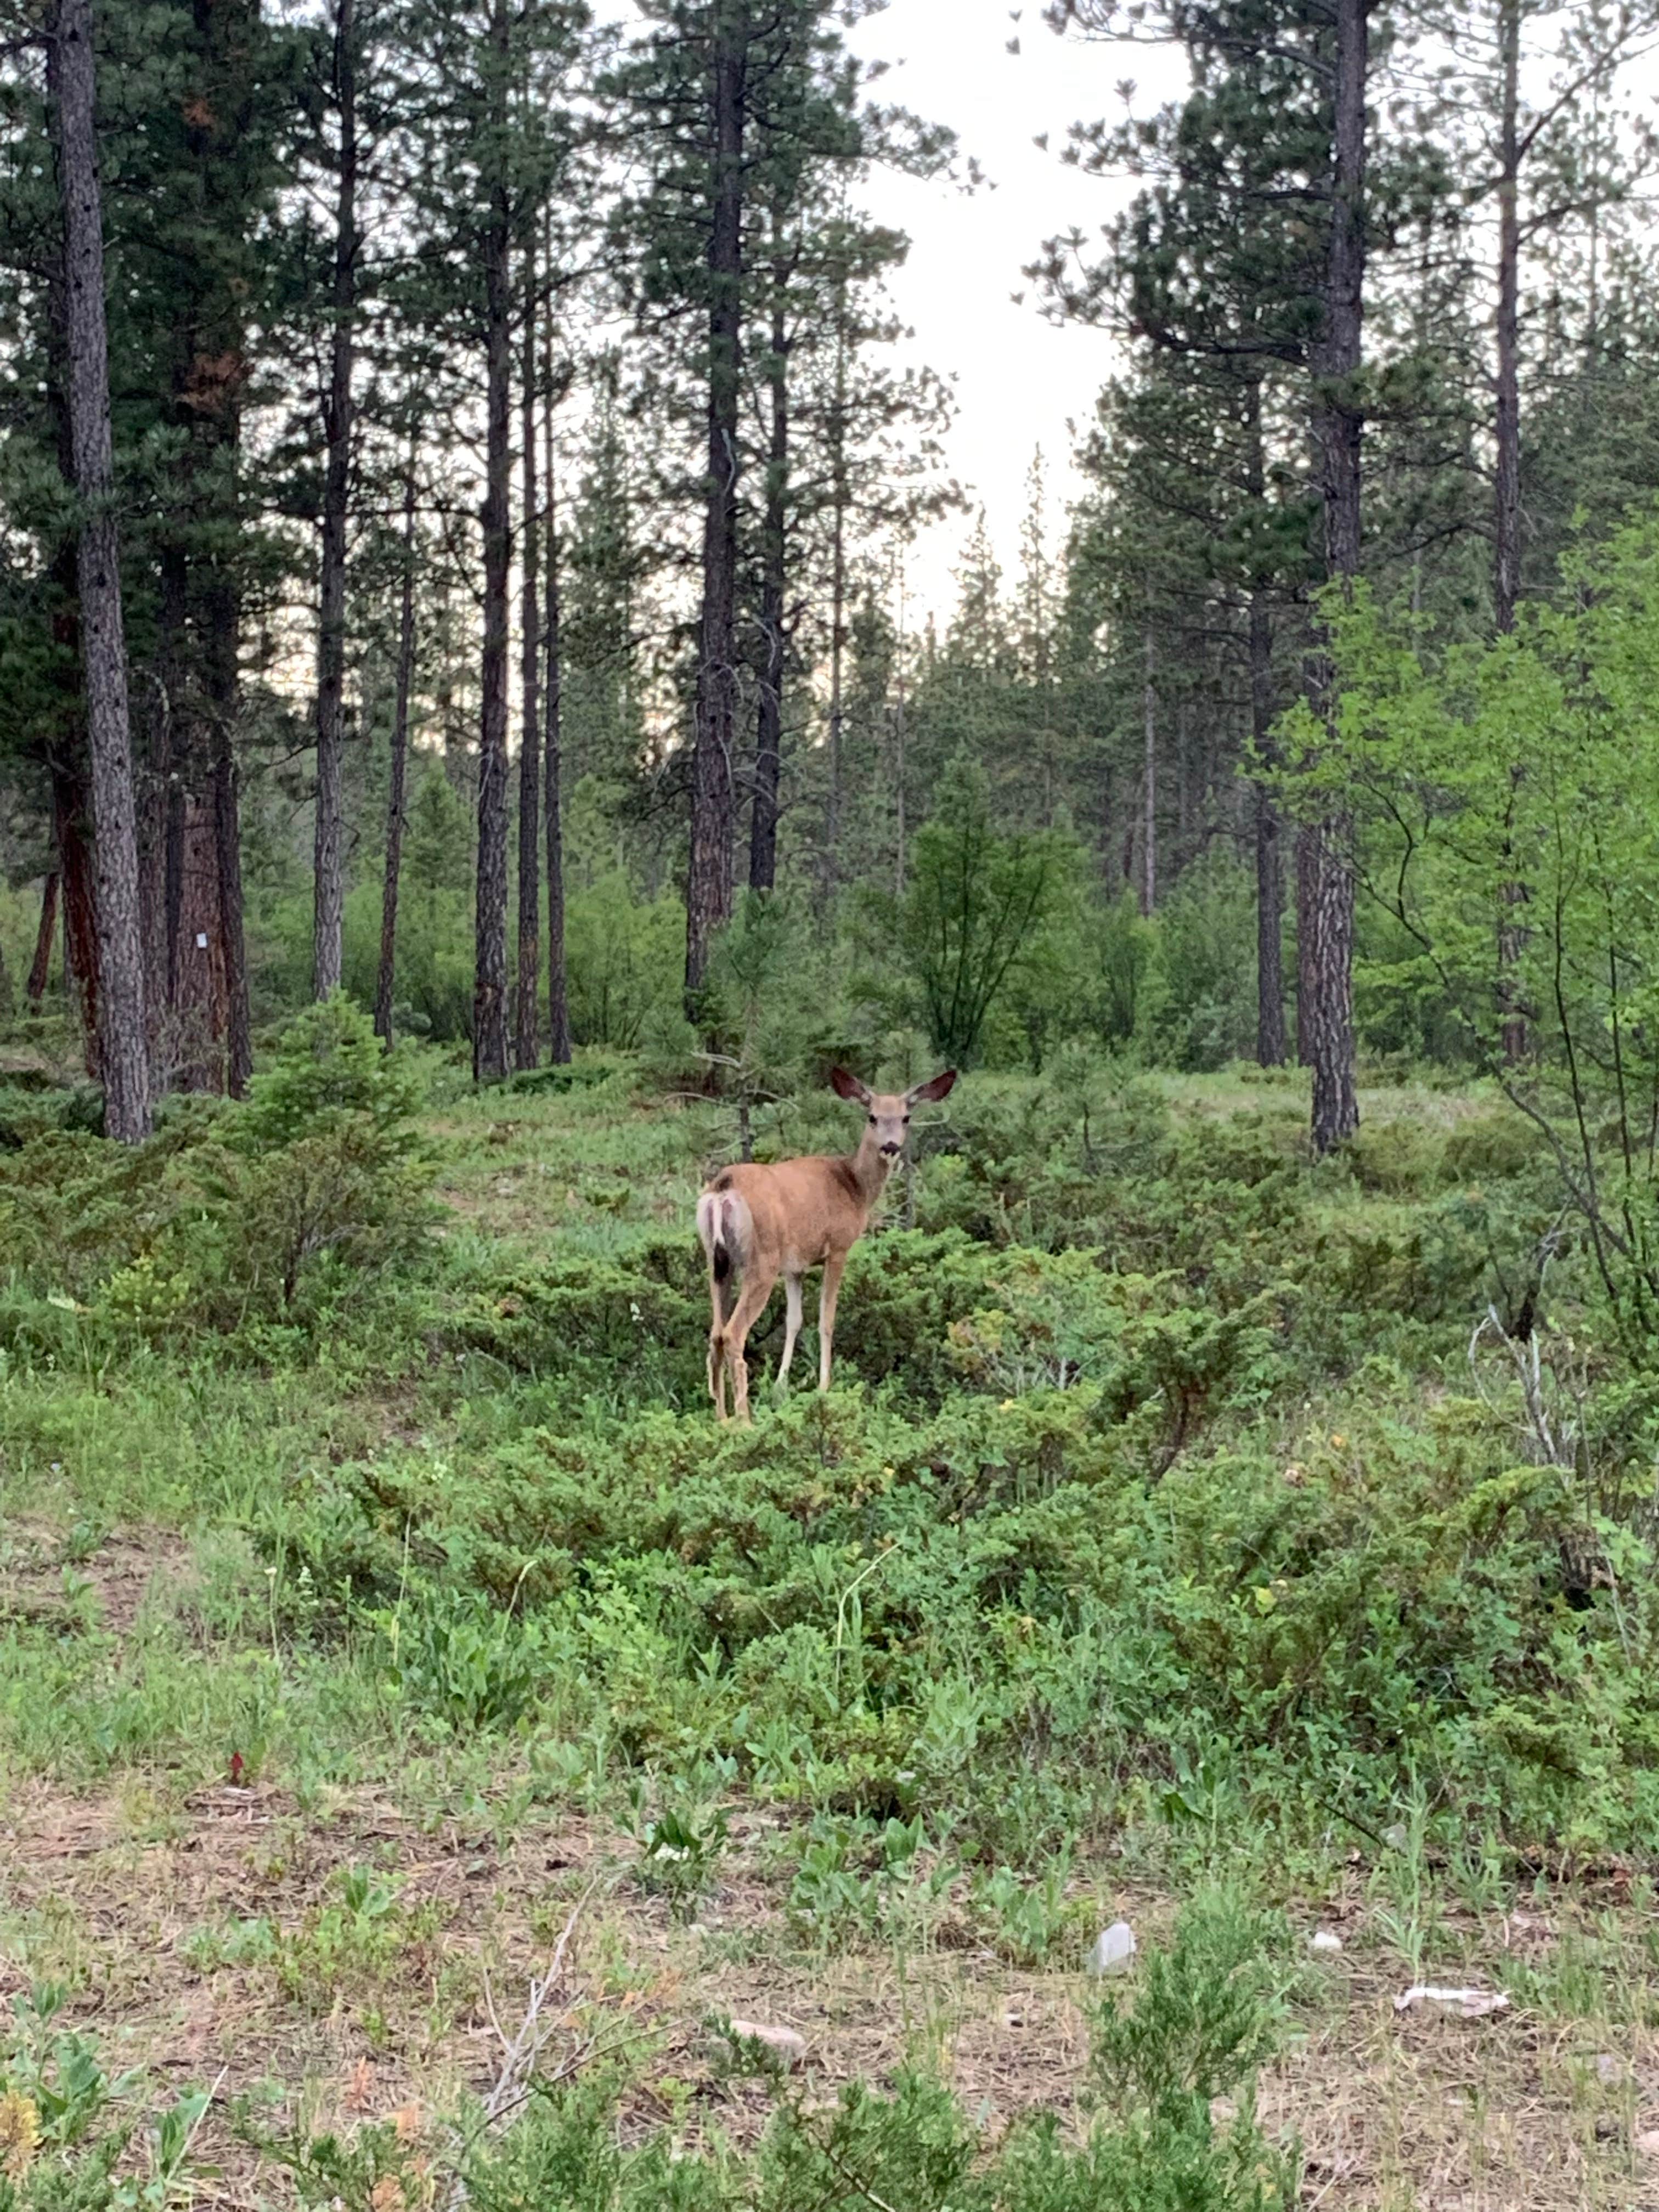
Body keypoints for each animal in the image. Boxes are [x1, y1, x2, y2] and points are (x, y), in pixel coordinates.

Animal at [690, 1066, 955, 1415]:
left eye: (906, 1117)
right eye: (872, 1116)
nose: (890, 1147)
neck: (856, 1187)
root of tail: (723, 1188)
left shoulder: (795, 1266)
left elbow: (794, 1320)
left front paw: (781, 1385)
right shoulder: (839, 1247)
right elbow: (826, 1319)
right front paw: (824, 1386)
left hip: (717, 1260)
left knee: (715, 1334)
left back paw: (721, 1416)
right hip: (761, 1261)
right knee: (733, 1333)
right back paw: (743, 1419)